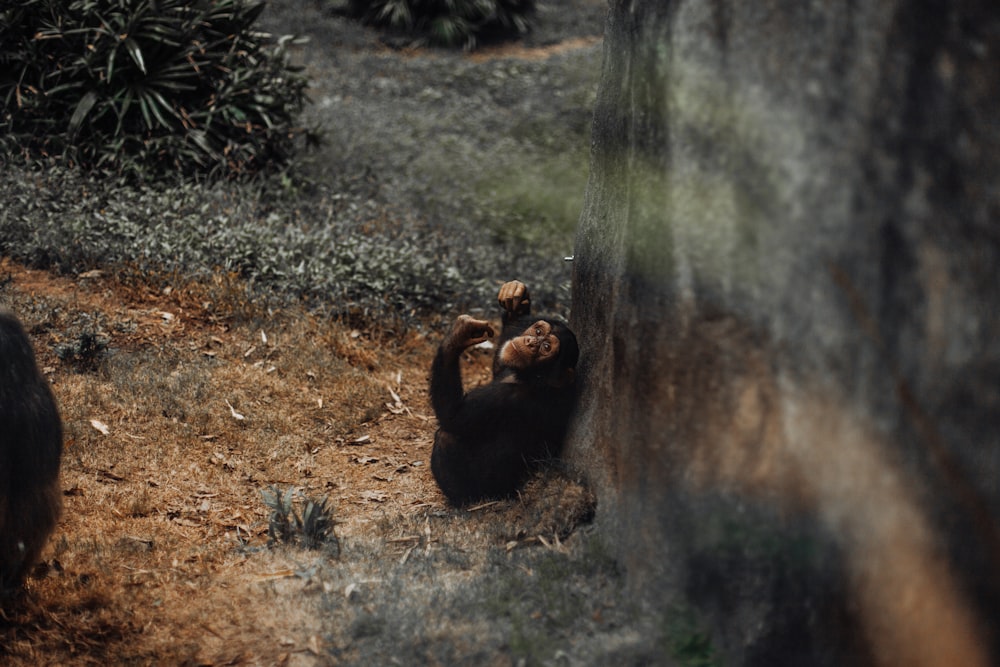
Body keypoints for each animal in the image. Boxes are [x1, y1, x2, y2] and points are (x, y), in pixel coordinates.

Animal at [428, 280, 580, 506]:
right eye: (538, 331)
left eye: (546, 347)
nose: (530, 342)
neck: (529, 377)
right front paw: (517, 299)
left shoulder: (507, 398)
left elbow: (453, 415)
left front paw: (459, 334)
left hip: (488, 490)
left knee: (446, 436)